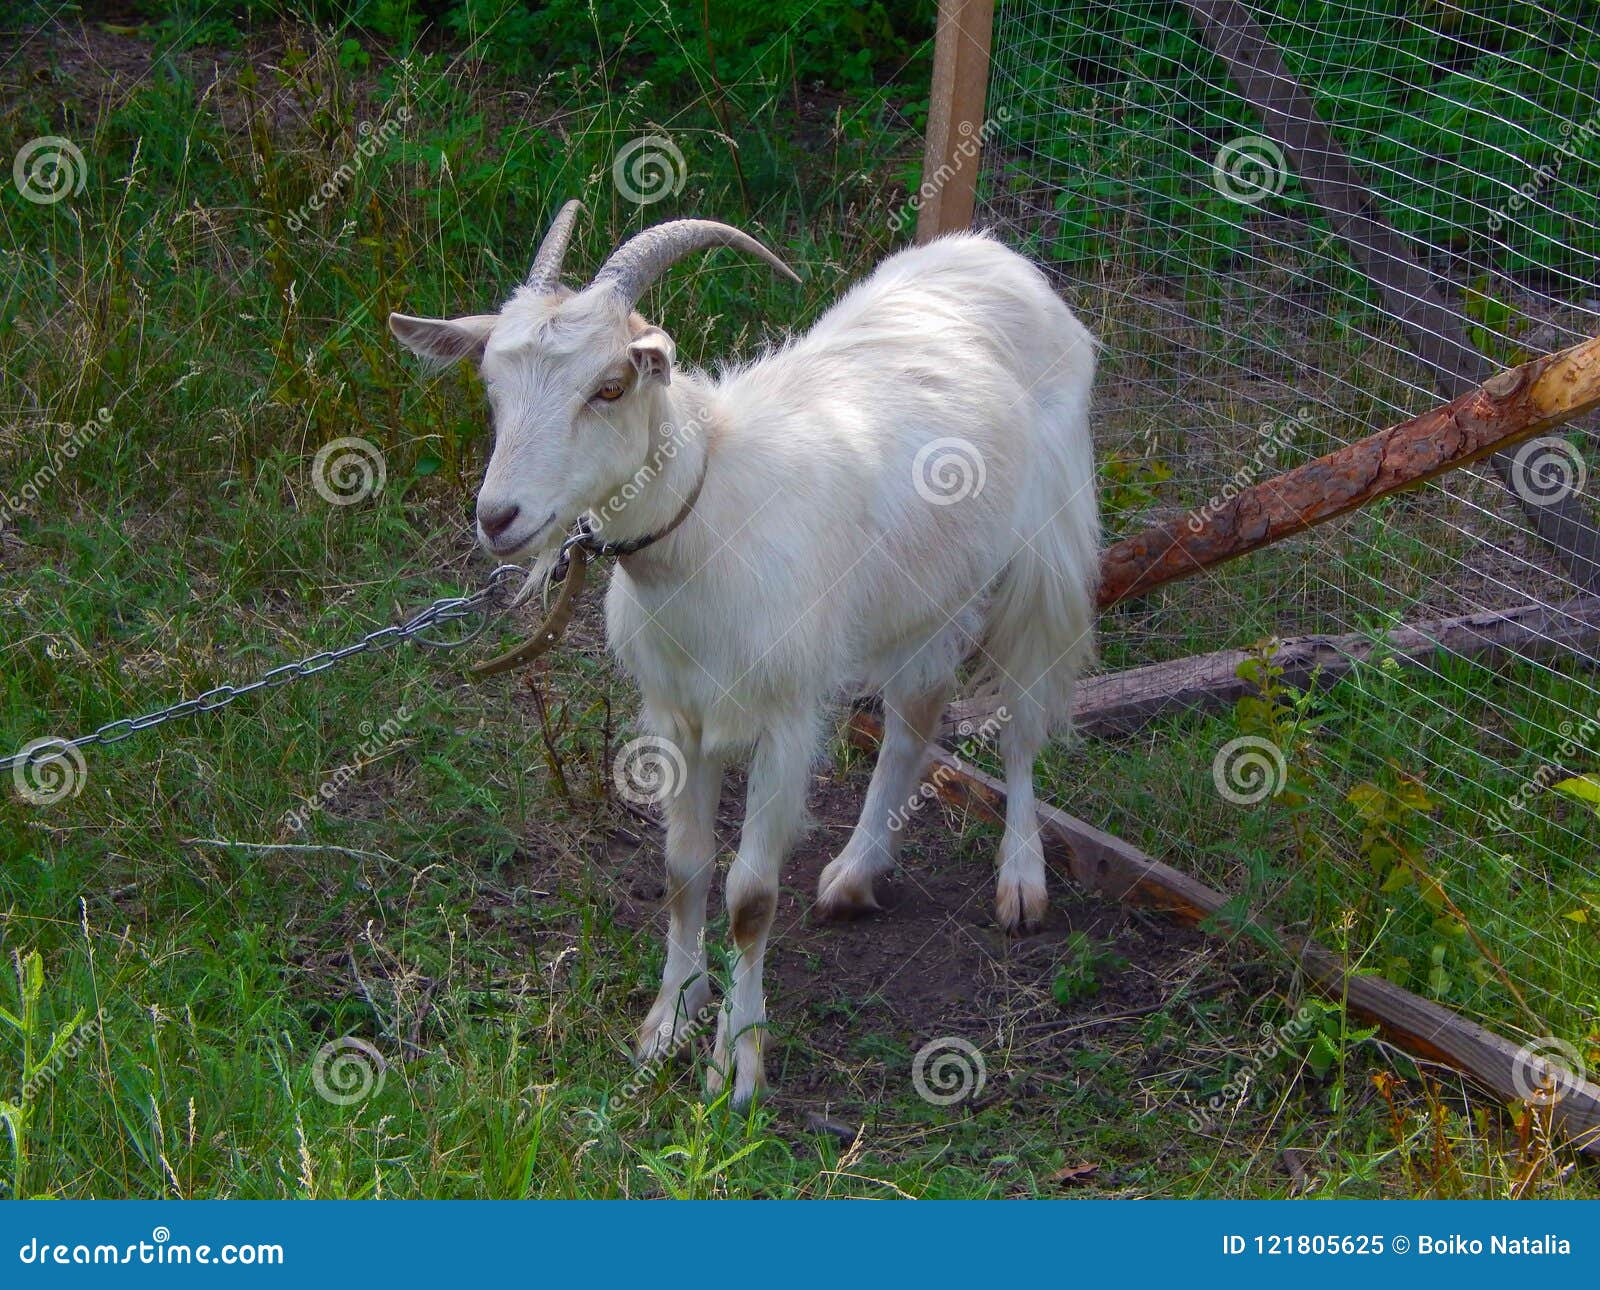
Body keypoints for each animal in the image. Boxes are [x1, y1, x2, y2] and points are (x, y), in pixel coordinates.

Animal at [390, 204, 1099, 1105]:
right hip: (926, 586)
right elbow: (684, 869)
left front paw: (739, 1064)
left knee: (1022, 711)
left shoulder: (787, 719)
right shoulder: (677, 716)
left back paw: (1021, 879)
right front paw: (669, 1021)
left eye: (610, 387)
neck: (710, 517)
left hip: (1047, 547)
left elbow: (751, 896)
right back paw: (855, 873)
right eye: (492, 388)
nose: (498, 518)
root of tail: (994, 253)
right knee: (917, 711)